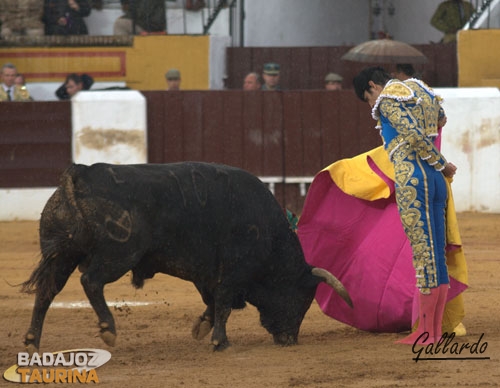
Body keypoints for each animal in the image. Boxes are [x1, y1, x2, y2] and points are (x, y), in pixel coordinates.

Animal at [22, 162, 352, 354]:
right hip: (119, 254)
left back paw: (32, 341)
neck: (271, 239)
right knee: (90, 281)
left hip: (62, 255)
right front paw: (220, 341)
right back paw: (108, 329)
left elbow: (214, 302)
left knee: (47, 292)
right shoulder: (233, 272)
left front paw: (202, 328)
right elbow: (224, 303)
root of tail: (81, 173)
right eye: (302, 298)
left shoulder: (206, 273)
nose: (289, 339)